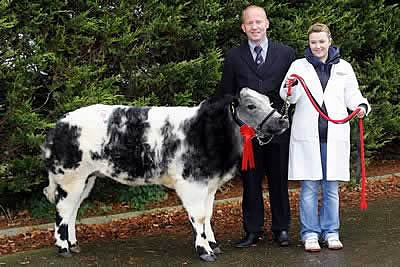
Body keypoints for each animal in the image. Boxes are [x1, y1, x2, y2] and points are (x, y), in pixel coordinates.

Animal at [43, 87, 288, 262]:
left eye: (269, 102)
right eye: (251, 106)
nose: (283, 120)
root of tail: (60, 123)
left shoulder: (210, 184)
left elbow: (208, 215)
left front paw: (213, 244)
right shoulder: (192, 183)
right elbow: (199, 216)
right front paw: (204, 250)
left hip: (87, 179)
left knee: (73, 210)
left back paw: (73, 244)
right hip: (71, 177)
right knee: (63, 209)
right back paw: (63, 247)